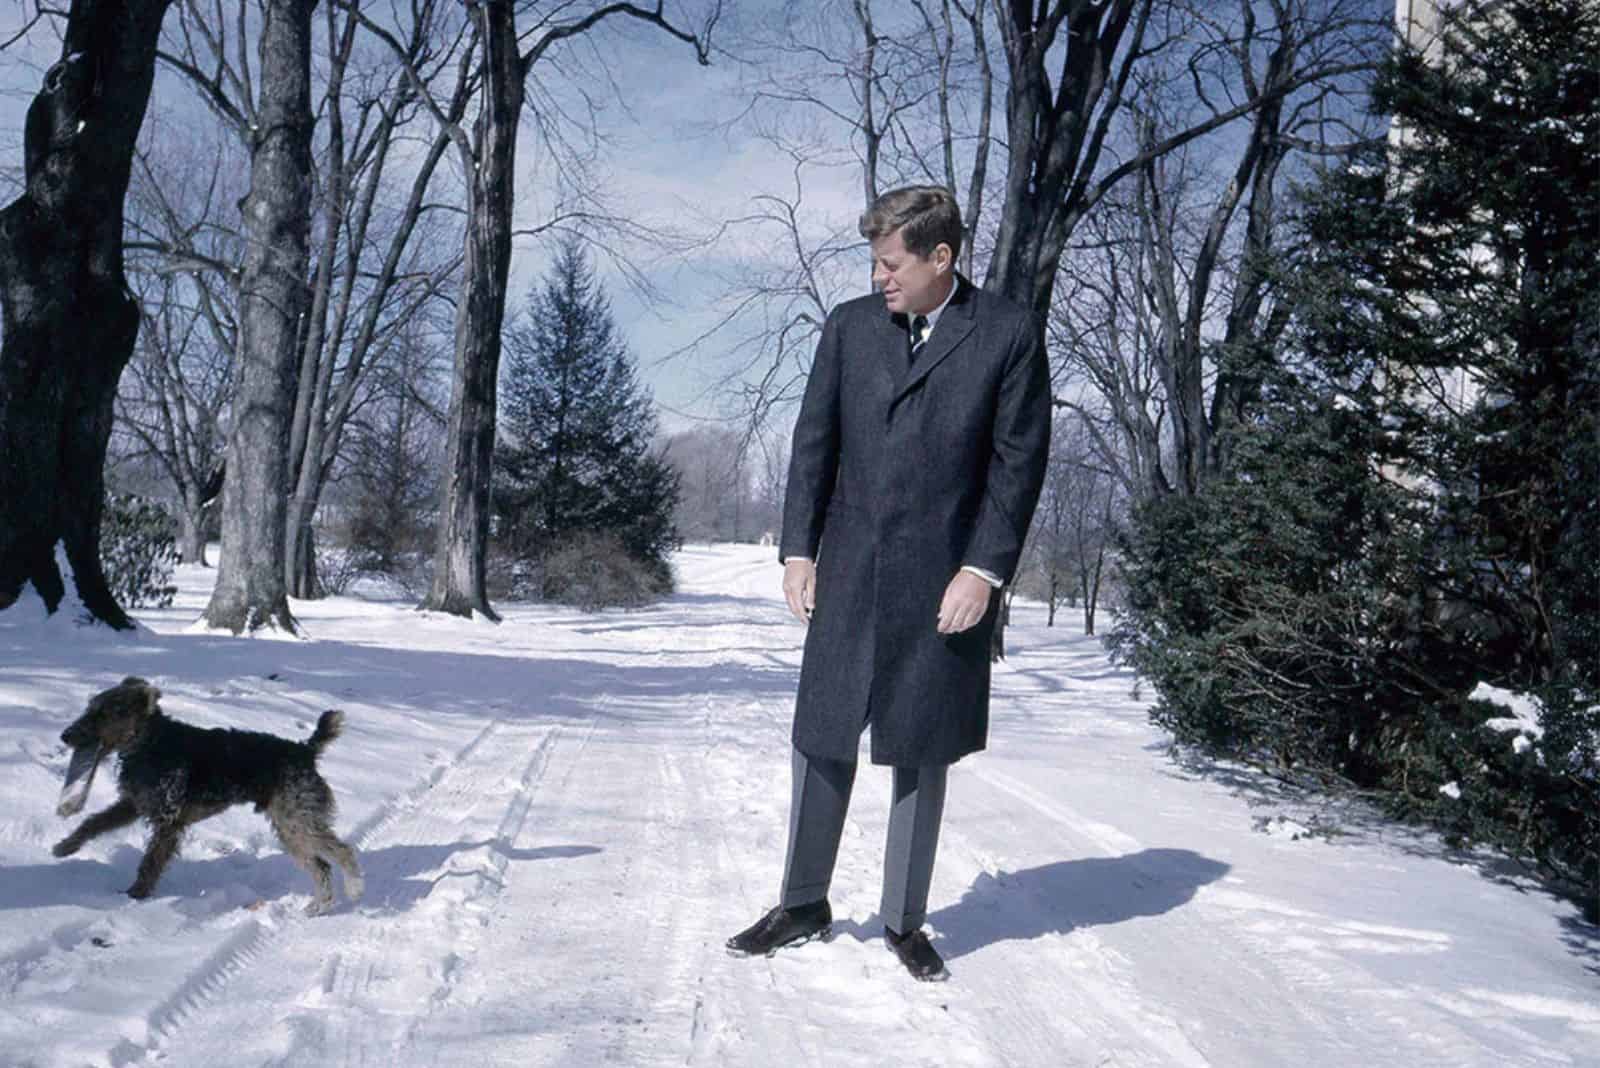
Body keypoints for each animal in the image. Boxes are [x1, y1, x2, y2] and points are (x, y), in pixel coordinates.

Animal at [52, 674, 363, 908]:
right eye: (90, 707)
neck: (150, 743)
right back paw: (317, 907)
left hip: (298, 819)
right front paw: (65, 846)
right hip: (289, 827)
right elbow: (93, 823)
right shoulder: (134, 803)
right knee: (322, 866)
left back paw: (354, 889)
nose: (65, 735)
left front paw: (135, 896)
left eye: (105, 713)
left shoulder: (168, 821)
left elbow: (150, 863)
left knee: (343, 851)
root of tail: (305, 750)